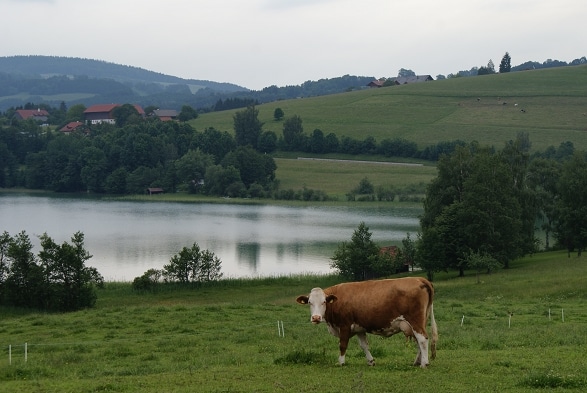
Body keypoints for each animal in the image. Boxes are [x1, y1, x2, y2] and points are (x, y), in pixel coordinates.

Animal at [296, 278, 438, 366]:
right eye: (309, 302)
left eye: (324, 302)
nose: (316, 318)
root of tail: (419, 279)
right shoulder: (359, 327)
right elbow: (364, 345)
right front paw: (370, 361)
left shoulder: (344, 325)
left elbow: (342, 345)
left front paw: (341, 362)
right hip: (417, 323)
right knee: (418, 341)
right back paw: (417, 362)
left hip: (415, 320)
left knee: (422, 339)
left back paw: (424, 363)